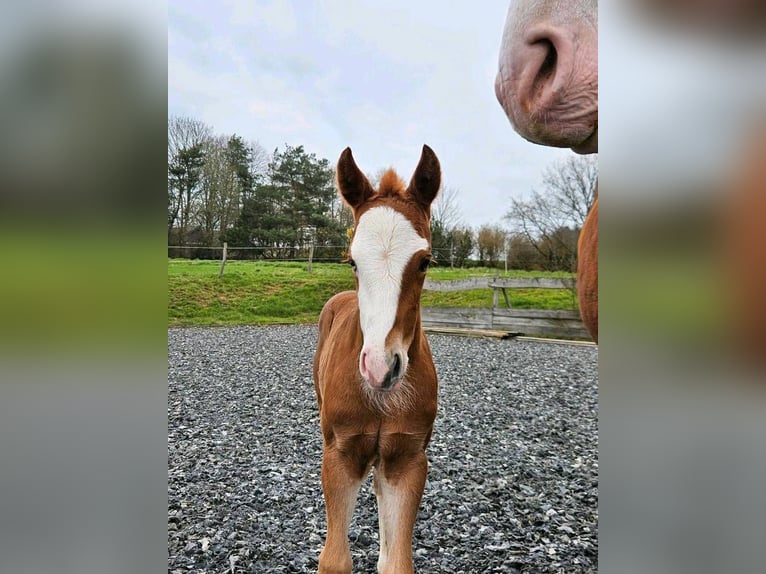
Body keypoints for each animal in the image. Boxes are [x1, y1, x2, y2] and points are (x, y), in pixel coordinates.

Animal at [314, 145, 444, 574]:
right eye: (352, 261)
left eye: (425, 261)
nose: (380, 368)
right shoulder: (340, 455)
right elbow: (334, 560)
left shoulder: (407, 460)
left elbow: (397, 562)